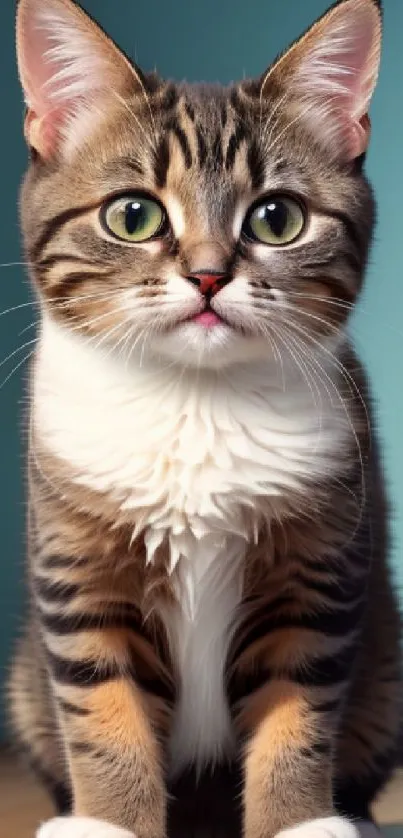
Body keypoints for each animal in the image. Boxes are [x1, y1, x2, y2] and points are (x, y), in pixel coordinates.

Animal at [7, 0, 402, 836]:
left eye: (276, 219)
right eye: (133, 216)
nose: (209, 275)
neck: (195, 399)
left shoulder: (315, 571)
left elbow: (298, 704)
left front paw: (297, 819)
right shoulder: (80, 573)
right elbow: (103, 708)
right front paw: (109, 820)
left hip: (389, 676)